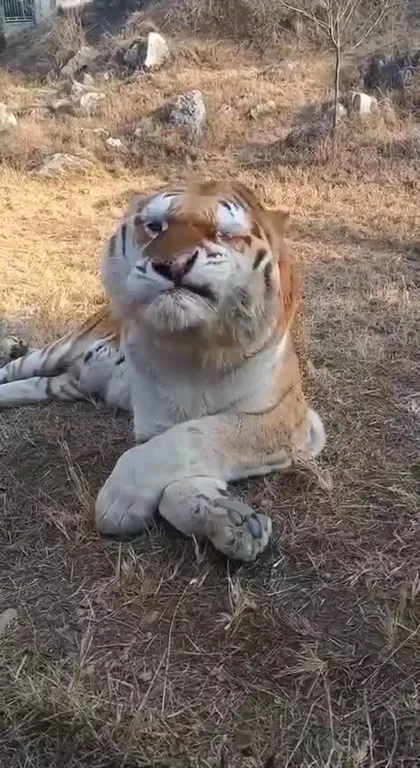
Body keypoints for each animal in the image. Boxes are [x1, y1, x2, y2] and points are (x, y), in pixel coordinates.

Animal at [0, 180, 326, 562]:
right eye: (155, 226)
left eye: (223, 233)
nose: (172, 264)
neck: (192, 348)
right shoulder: (156, 422)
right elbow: (172, 448)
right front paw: (124, 505)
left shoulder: (284, 418)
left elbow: (191, 441)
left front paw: (233, 521)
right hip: (61, 350)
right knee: (17, 367)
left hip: (62, 385)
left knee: (27, 385)